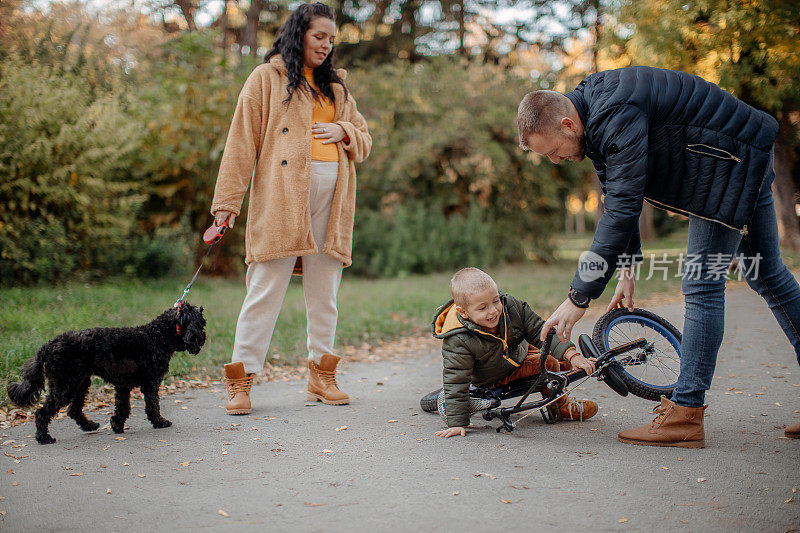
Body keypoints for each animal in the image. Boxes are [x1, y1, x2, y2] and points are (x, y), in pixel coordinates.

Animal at [7, 302, 206, 442]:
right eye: (201, 323)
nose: (203, 338)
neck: (159, 335)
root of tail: (48, 346)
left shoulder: (123, 386)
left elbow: (123, 407)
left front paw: (117, 425)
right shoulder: (150, 383)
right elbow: (152, 406)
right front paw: (160, 422)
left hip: (80, 383)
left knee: (73, 410)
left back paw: (89, 425)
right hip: (65, 385)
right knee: (42, 413)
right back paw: (44, 438)